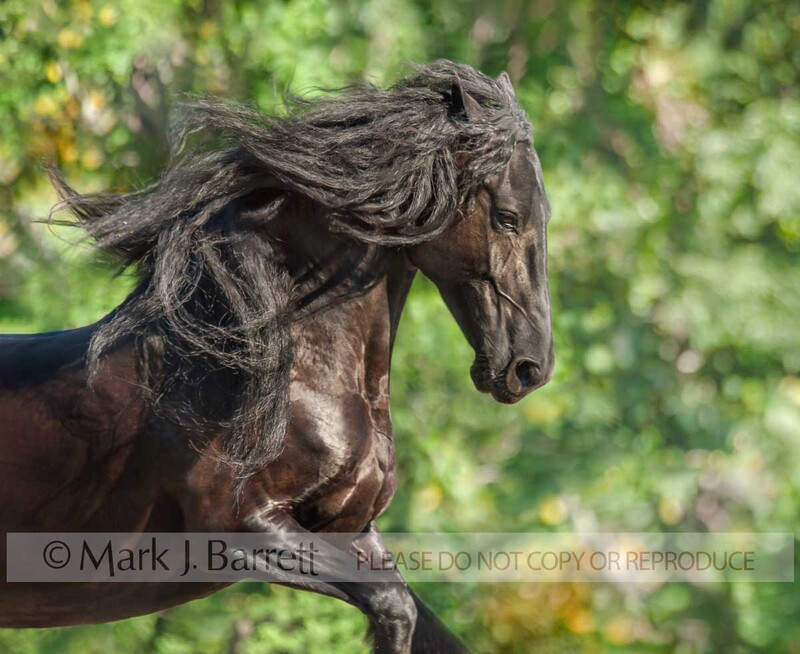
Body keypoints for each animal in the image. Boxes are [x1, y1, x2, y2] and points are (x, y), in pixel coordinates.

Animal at [0, 61, 553, 653]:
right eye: (506, 217)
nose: (531, 368)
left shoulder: (354, 534)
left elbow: (416, 618)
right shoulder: (238, 530)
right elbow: (395, 607)